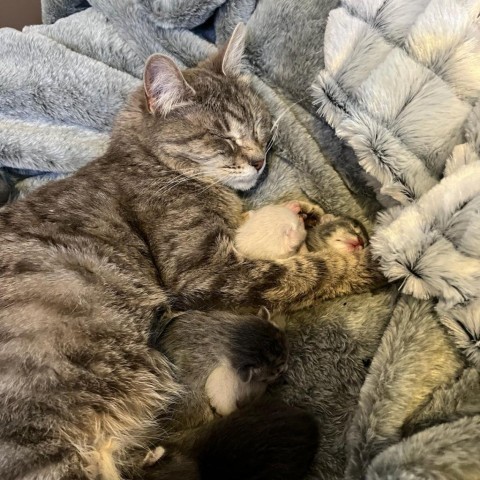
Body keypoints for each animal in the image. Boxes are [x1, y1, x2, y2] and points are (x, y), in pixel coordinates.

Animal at [0, 25, 380, 480]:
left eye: (259, 125)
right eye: (223, 137)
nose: (259, 160)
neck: (149, 163)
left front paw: (305, 212)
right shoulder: (204, 272)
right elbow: (306, 272)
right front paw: (371, 261)